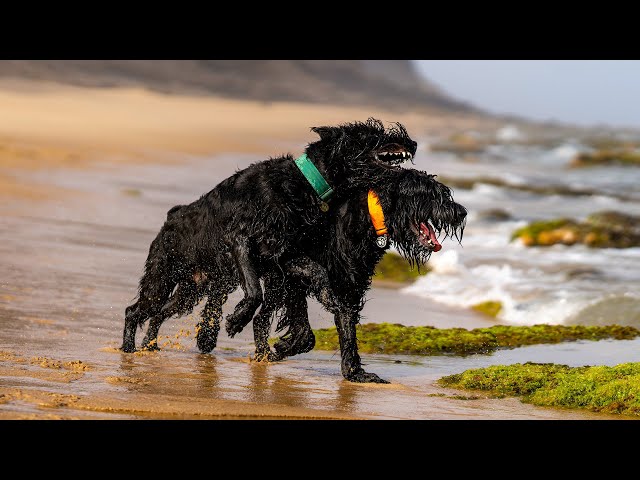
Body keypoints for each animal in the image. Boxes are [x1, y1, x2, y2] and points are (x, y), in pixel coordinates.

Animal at [122, 118, 418, 354]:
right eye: (374, 132)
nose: (413, 142)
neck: (306, 183)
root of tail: (170, 218)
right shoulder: (241, 241)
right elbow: (255, 292)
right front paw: (236, 321)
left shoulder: (284, 253)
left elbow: (317, 271)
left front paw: (328, 298)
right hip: (162, 277)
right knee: (135, 311)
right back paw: (128, 348)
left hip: (192, 287)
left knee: (159, 312)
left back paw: (149, 346)